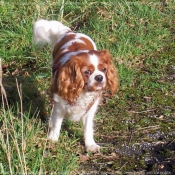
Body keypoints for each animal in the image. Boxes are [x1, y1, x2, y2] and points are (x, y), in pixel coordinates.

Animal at [33, 19, 118, 152]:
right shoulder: (59, 105)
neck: (83, 91)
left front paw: (90, 145)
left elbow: (88, 128)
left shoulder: (91, 108)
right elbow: (57, 123)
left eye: (104, 69)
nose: (99, 77)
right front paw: (53, 139)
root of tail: (70, 32)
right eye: (87, 72)